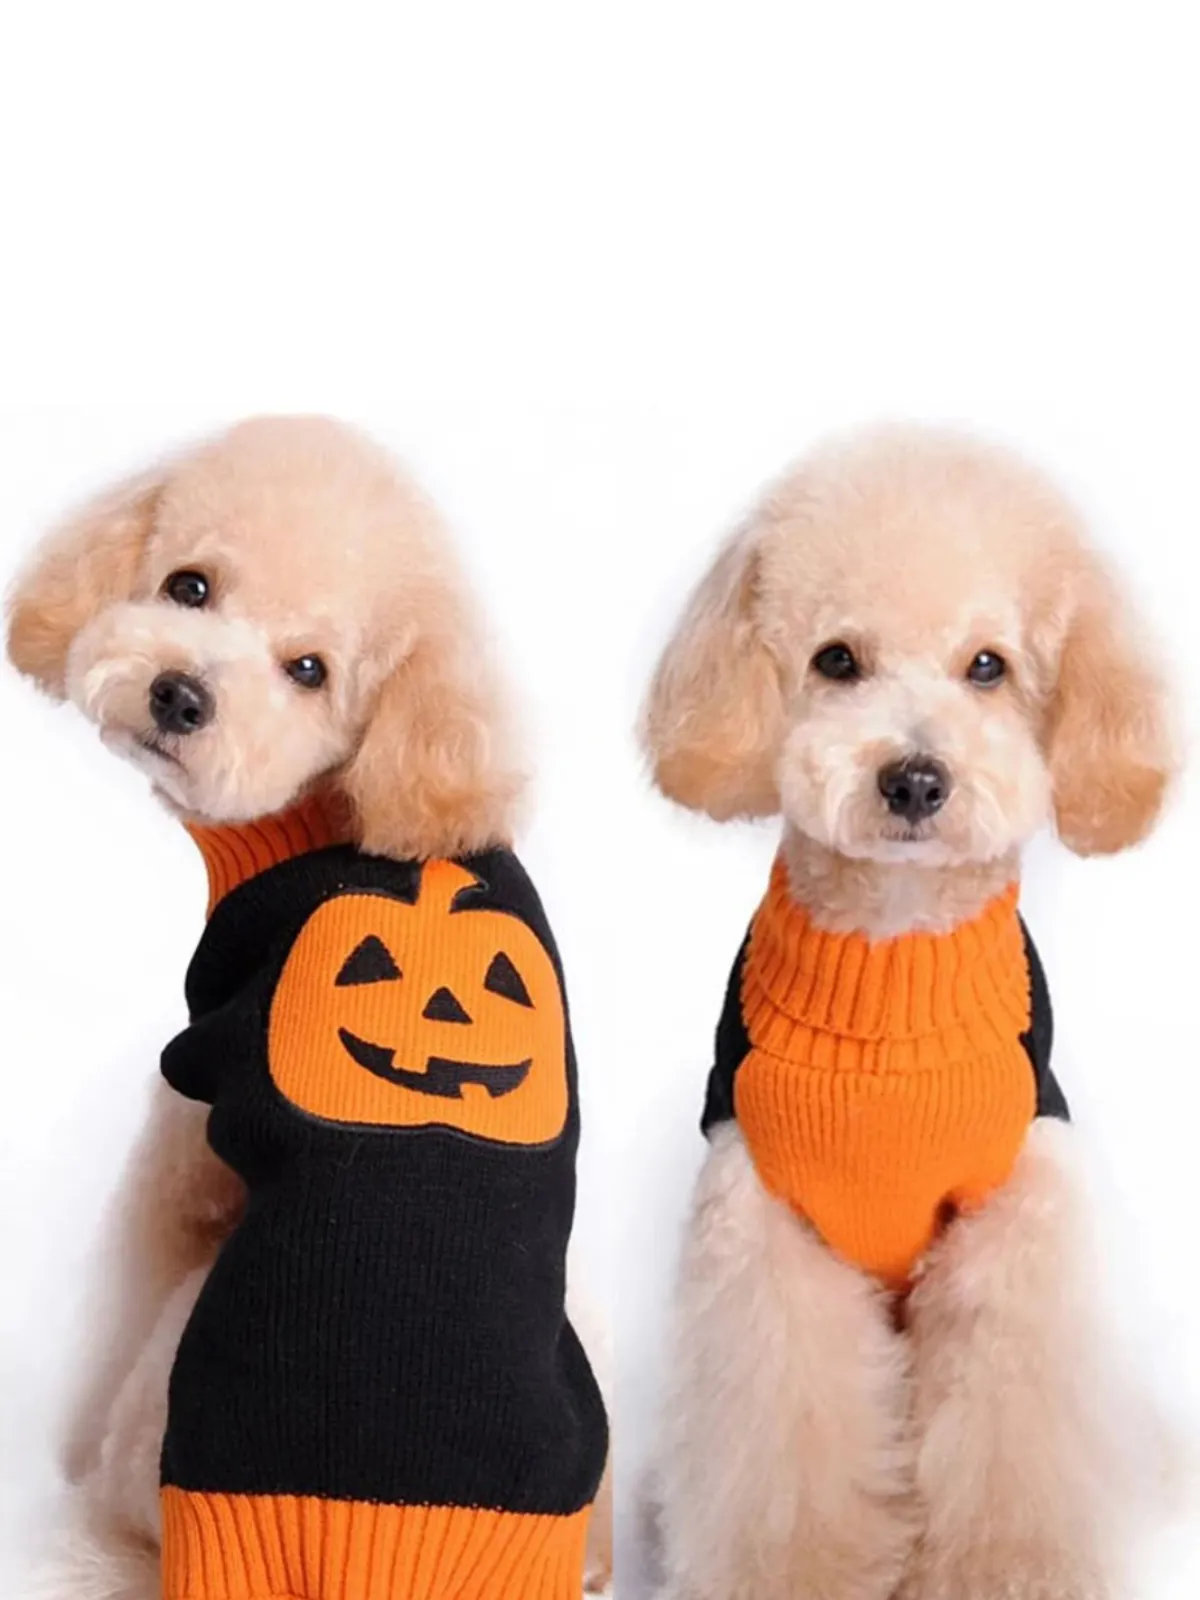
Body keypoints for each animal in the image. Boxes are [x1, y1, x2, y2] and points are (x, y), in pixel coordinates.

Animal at [7, 416, 611, 1600]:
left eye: (309, 672)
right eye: (189, 586)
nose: (181, 695)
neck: (349, 801)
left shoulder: (192, 1110)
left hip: (175, 1380)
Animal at [643, 425, 1177, 1600]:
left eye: (989, 665)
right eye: (837, 659)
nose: (916, 779)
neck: (889, 962)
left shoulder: (1012, 1225)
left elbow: (1010, 1445)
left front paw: (1007, 1572)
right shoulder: (767, 1233)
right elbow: (789, 1457)